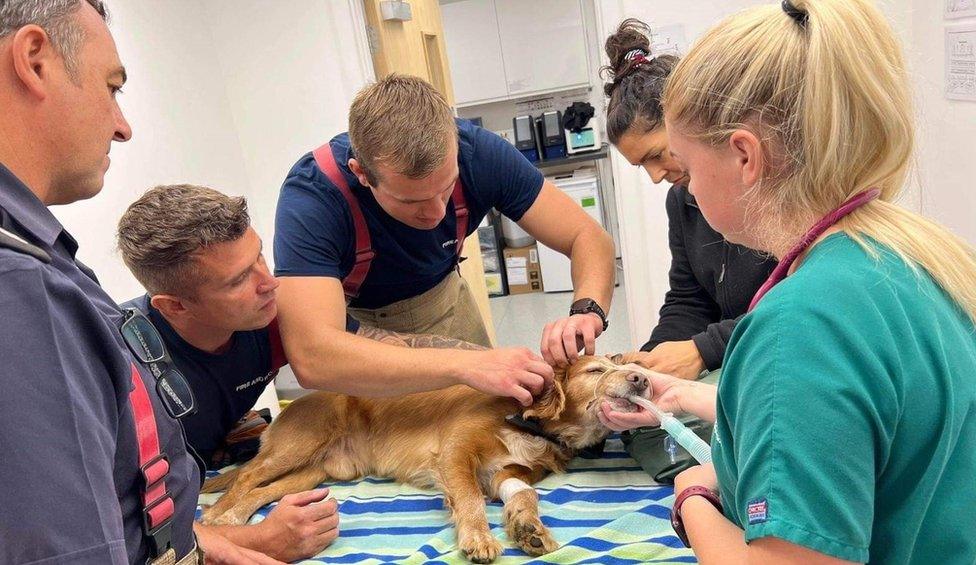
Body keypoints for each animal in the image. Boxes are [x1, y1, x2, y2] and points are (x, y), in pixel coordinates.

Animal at [202, 354, 652, 560]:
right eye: (595, 370)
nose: (642, 379)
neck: (531, 425)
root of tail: (289, 405)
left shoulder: (508, 473)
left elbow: (524, 495)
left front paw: (528, 528)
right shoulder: (455, 453)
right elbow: (469, 500)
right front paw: (479, 538)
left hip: (312, 473)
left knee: (261, 491)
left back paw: (235, 517)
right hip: (299, 445)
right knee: (246, 477)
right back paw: (219, 518)